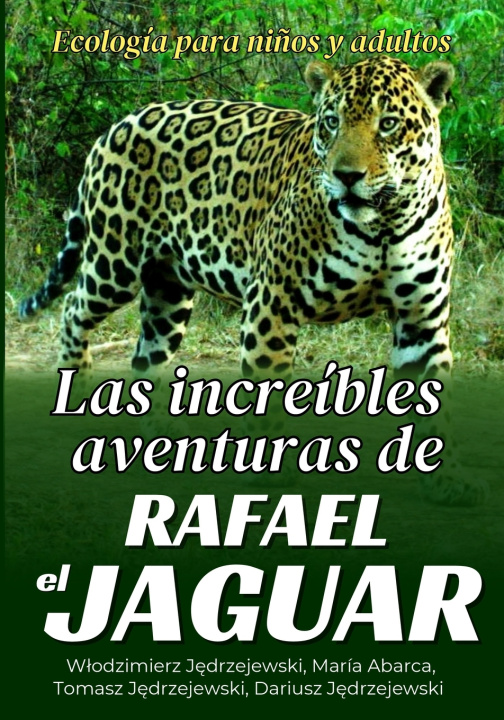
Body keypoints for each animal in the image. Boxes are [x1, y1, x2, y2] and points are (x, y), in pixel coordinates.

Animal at [18, 55, 486, 505]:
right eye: (331, 121)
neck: (385, 224)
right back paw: (77, 386)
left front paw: (445, 479)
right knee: (73, 308)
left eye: (388, 123)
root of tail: (117, 126)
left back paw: (153, 439)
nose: (346, 176)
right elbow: (269, 384)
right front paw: (270, 471)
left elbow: (432, 403)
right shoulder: (273, 302)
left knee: (145, 355)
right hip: (114, 262)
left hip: (168, 291)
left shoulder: (421, 318)